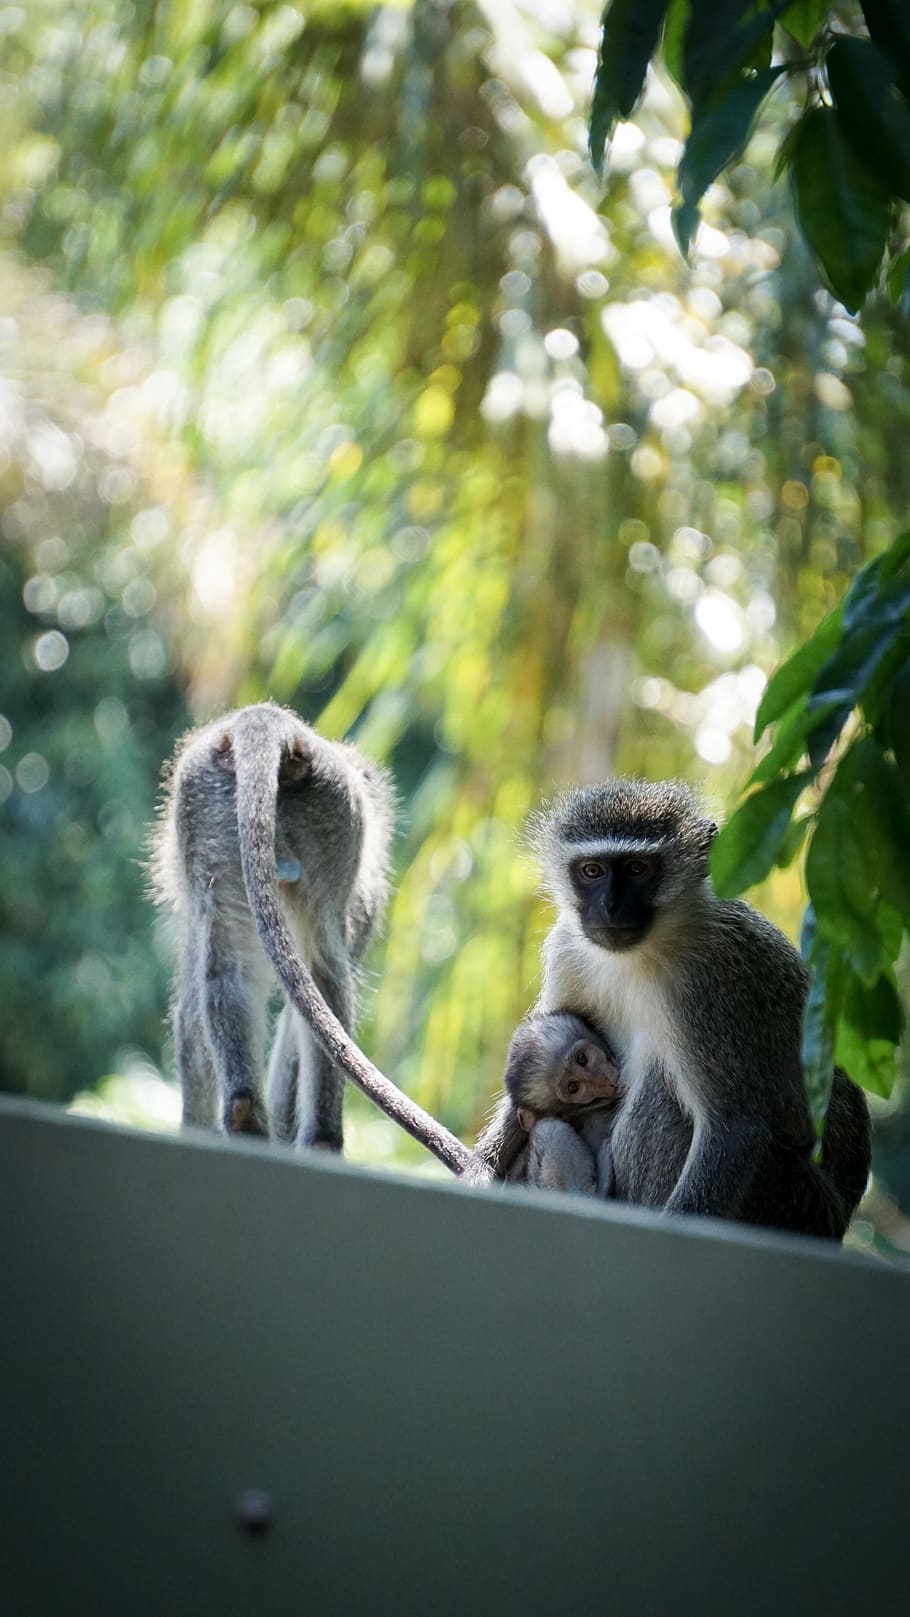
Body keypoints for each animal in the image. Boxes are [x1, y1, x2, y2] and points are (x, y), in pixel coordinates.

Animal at [151, 701, 483, 1177]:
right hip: (334, 810)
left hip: (224, 806)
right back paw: (321, 1139)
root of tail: (274, 724)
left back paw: (246, 1114)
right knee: (324, 969)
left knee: (230, 969)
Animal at [521, 778, 871, 1239]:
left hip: (791, 1199)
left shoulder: (711, 981)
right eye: (592, 871)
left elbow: (734, 1128)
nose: (610, 907)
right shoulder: (567, 950)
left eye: (637, 869)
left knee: (663, 1091)